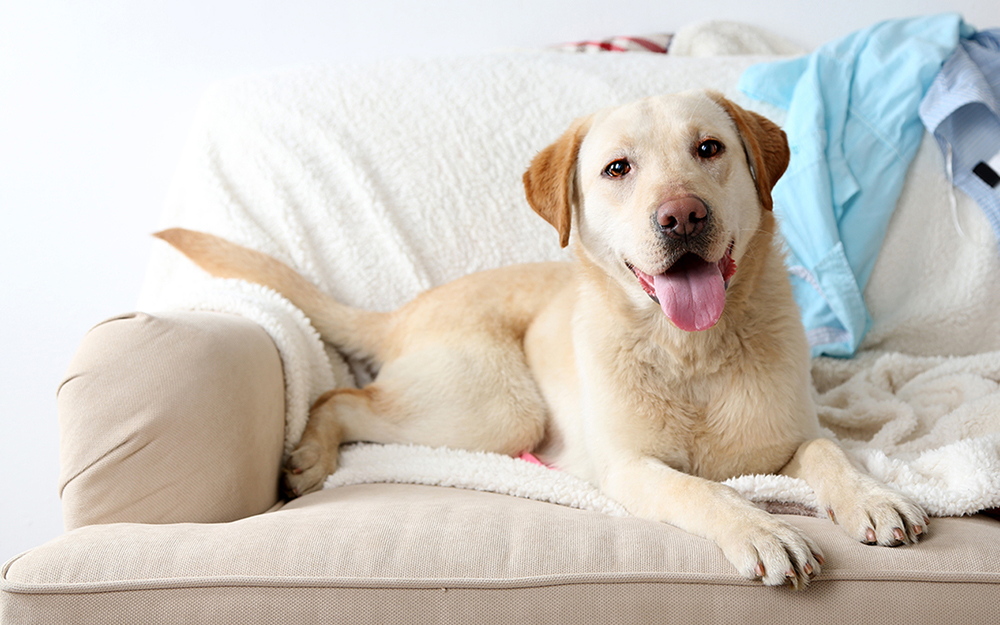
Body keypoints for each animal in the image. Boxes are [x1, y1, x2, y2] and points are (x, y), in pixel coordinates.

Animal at [156, 90, 928, 588]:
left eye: (708, 149)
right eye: (618, 169)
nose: (682, 215)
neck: (691, 351)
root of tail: (405, 309)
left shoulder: (796, 436)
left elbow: (830, 453)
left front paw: (873, 497)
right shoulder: (630, 468)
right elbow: (704, 493)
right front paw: (762, 529)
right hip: (498, 410)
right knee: (342, 396)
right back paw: (311, 453)